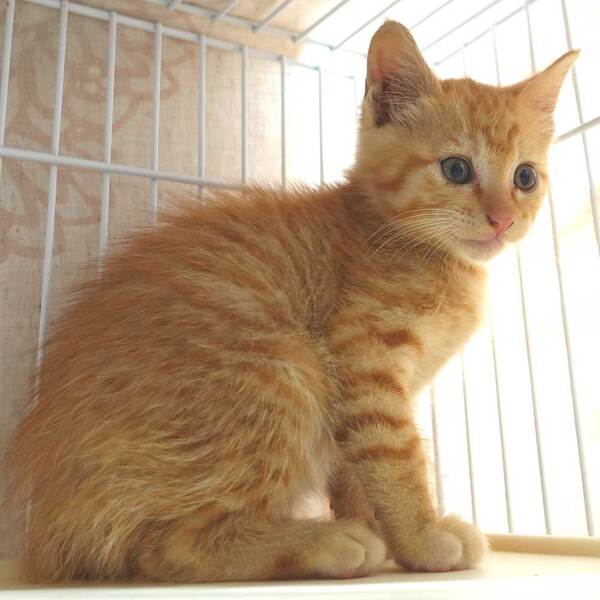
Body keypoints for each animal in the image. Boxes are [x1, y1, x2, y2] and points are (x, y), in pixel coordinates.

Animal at [6, 21, 577, 582]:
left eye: (525, 177)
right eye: (456, 170)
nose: (504, 219)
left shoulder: (366, 392)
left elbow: (356, 466)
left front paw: (389, 536)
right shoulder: (363, 355)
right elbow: (395, 454)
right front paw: (422, 536)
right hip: (284, 369)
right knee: (168, 547)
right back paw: (325, 543)